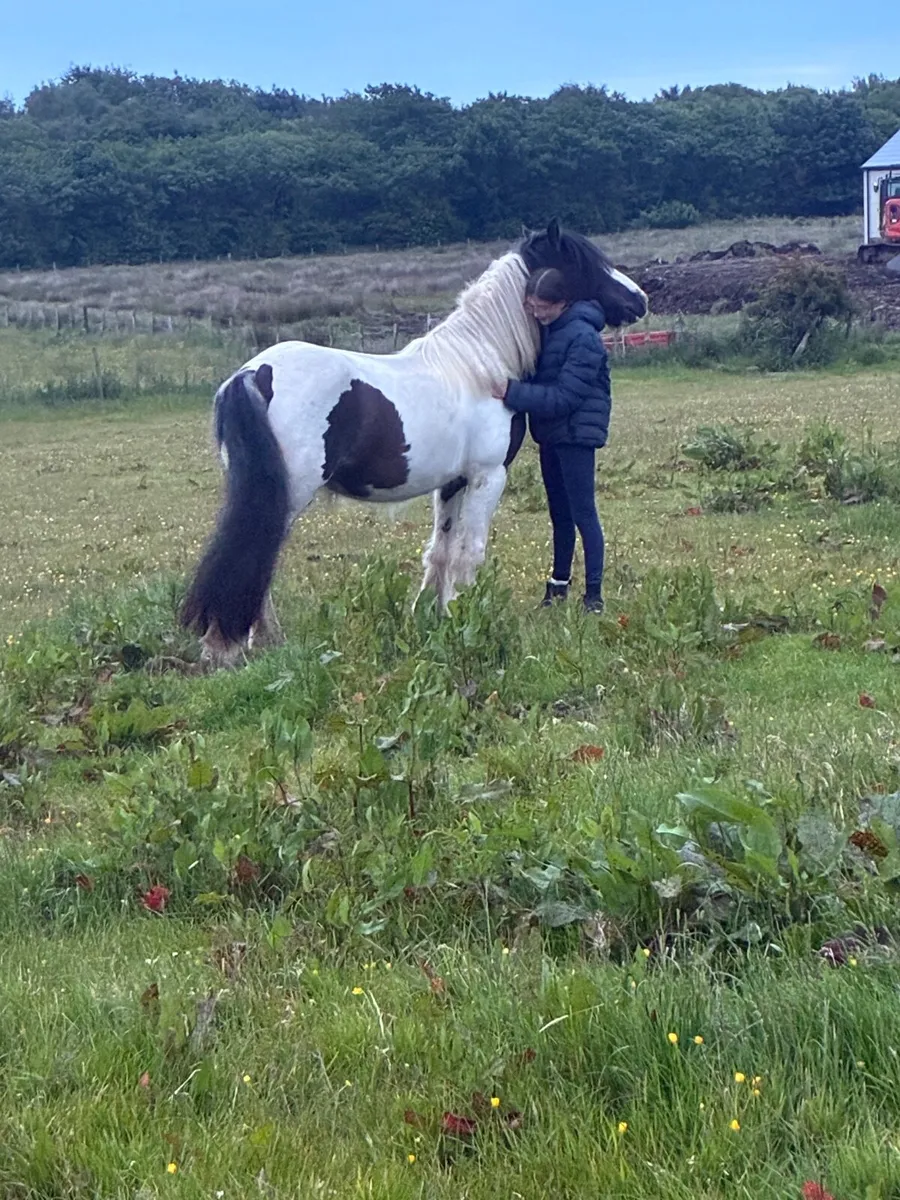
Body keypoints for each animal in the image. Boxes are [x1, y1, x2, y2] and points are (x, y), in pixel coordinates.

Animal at [180, 220, 648, 668]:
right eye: (583, 262)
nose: (639, 300)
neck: (480, 366)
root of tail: (253, 373)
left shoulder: (453, 482)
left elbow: (440, 552)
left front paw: (435, 616)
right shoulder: (487, 478)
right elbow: (468, 554)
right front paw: (466, 615)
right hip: (287, 494)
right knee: (259, 555)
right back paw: (247, 642)